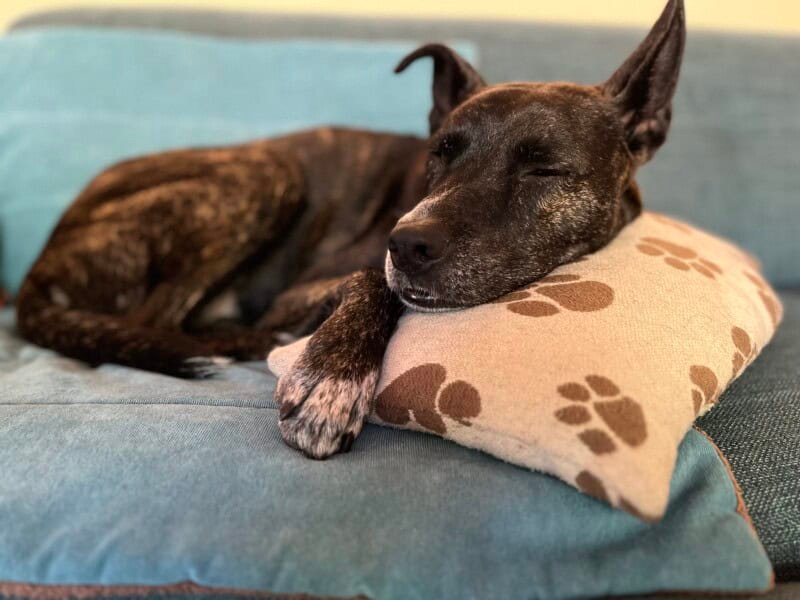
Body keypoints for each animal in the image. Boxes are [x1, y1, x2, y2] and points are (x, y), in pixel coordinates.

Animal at [15, 1, 684, 460]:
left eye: (544, 169)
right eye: (440, 154)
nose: (406, 243)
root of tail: (39, 266)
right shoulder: (300, 290)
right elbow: (369, 278)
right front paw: (332, 377)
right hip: (267, 170)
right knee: (157, 321)